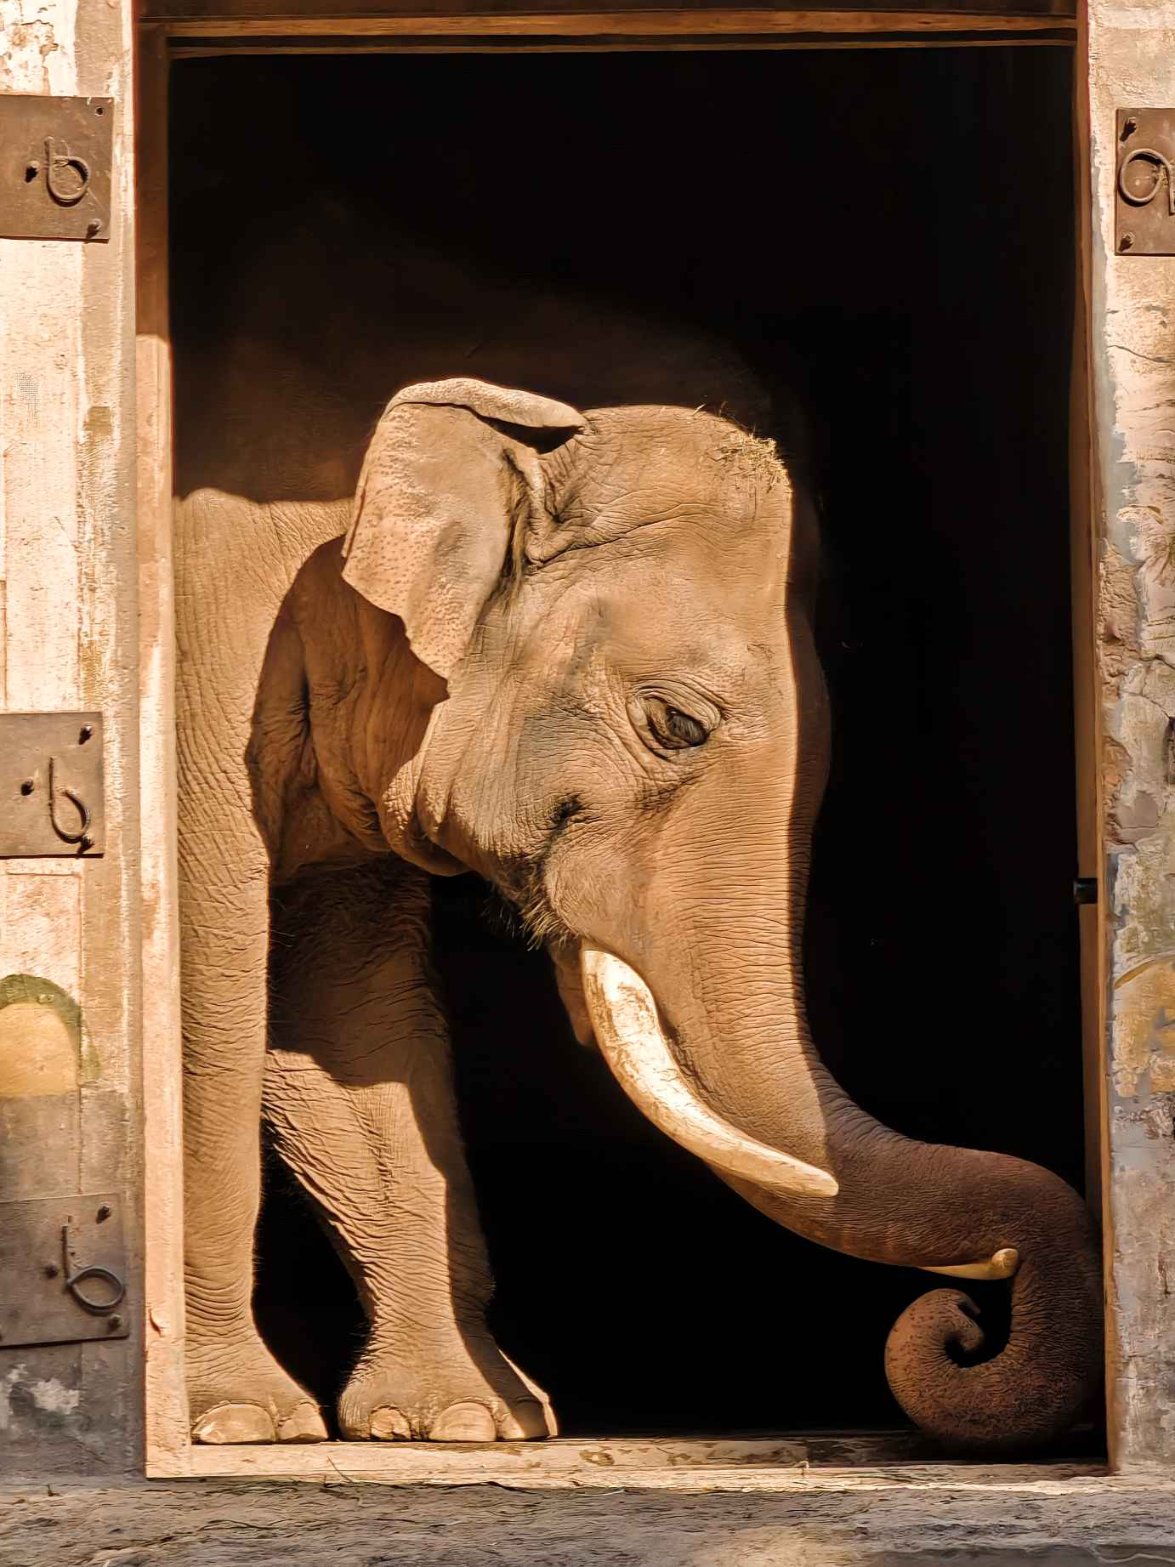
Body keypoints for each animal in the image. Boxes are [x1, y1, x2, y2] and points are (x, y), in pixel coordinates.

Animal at [175, 361, 1102, 1451]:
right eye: (675, 723)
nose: (968, 1319)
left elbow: (344, 1016)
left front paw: (472, 1420)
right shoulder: (203, 682)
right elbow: (205, 991)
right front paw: (237, 1422)